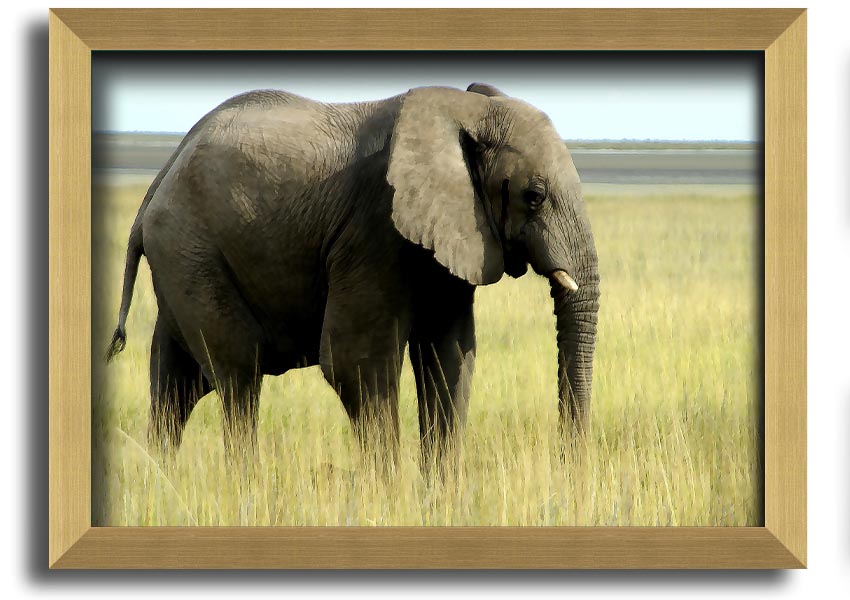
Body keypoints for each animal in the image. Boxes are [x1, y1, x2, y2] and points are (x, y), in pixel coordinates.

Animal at [106, 82, 600, 469]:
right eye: (534, 196)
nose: (566, 466)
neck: (464, 109)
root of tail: (158, 181)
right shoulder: (374, 227)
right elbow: (357, 364)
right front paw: (391, 498)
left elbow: (451, 355)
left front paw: (440, 499)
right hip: (191, 251)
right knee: (237, 376)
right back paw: (243, 486)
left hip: (183, 261)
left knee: (176, 383)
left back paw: (163, 482)